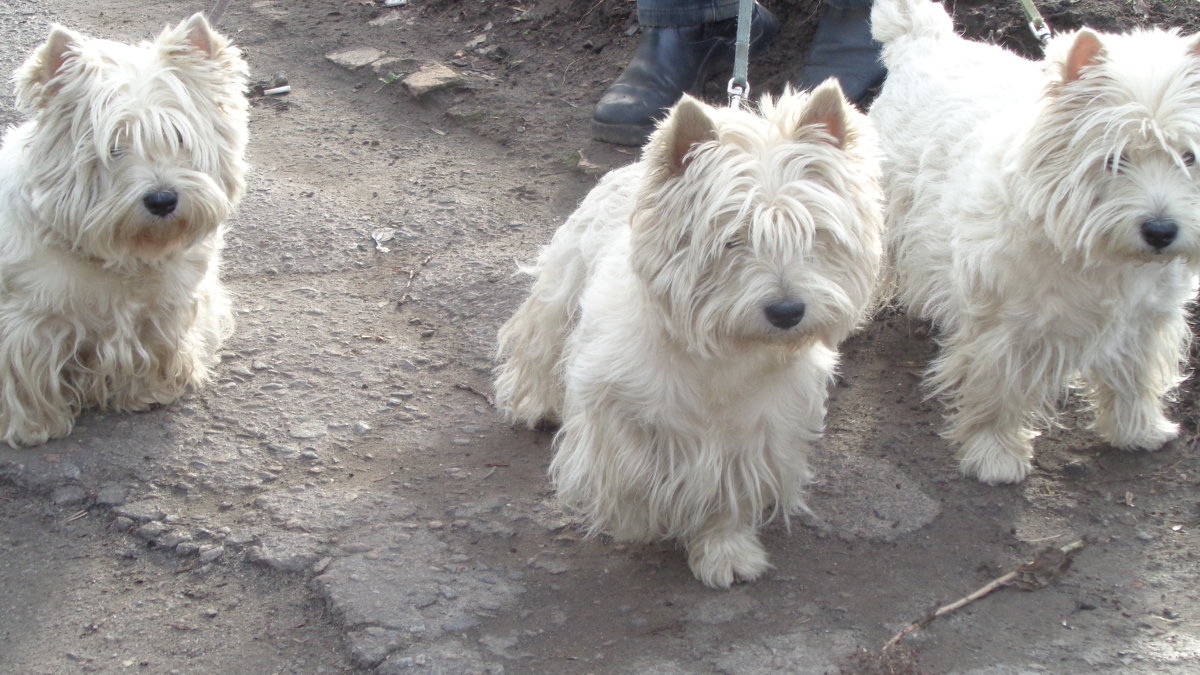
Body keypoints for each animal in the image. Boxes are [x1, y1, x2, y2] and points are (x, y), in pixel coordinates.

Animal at [0, 13, 249, 444]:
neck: (123, 254)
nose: (163, 200)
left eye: (178, 136)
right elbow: (24, 376)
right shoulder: (29, 321)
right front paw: (34, 427)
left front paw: (151, 392)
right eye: (114, 147)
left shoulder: (161, 309)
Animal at [494, 82, 883, 583]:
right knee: (541, 340)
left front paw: (726, 551)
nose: (787, 311)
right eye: (732, 240)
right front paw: (638, 521)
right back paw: (535, 402)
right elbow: (631, 475)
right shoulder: (617, 407)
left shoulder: (757, 432)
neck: (721, 353)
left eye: (813, 234)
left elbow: (730, 491)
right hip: (564, 281)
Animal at [868, 0, 1200, 482]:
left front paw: (1140, 430)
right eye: (1114, 159)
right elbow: (998, 393)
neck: (1098, 253)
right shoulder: (1007, 328)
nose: (1161, 231)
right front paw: (995, 457)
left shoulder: (1143, 320)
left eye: (1188, 156)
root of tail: (921, 37)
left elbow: (1135, 380)